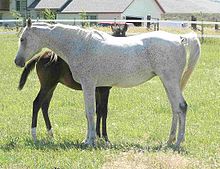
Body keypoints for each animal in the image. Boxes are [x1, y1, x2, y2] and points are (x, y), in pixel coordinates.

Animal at [14, 18, 201, 147]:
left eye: (23, 39)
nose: (17, 61)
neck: (80, 45)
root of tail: (180, 39)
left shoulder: (89, 85)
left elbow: (91, 112)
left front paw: (90, 141)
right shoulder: (95, 88)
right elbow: (93, 113)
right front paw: (89, 139)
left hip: (170, 81)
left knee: (181, 106)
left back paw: (177, 142)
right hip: (169, 82)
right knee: (175, 108)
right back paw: (169, 141)